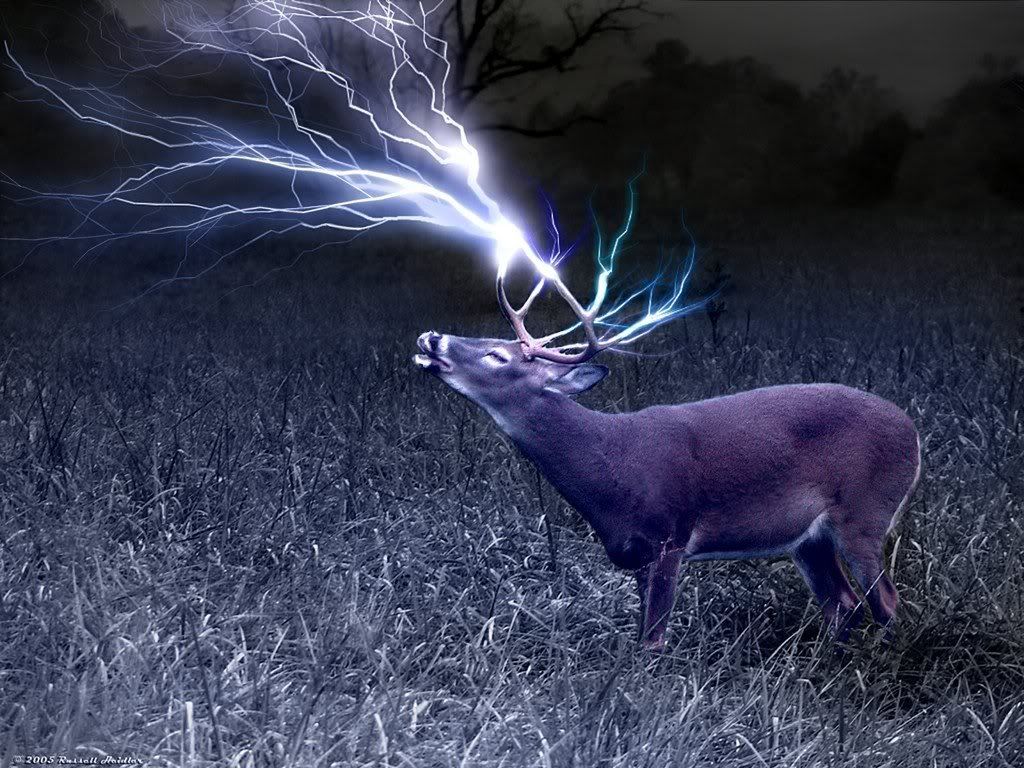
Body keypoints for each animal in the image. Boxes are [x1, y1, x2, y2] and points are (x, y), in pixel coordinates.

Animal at [413, 267, 921, 650]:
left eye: (497, 355)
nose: (431, 337)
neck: (610, 465)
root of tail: (914, 434)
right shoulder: (637, 553)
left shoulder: (669, 535)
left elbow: (652, 642)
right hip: (807, 539)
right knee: (844, 603)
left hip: (865, 511)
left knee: (887, 601)